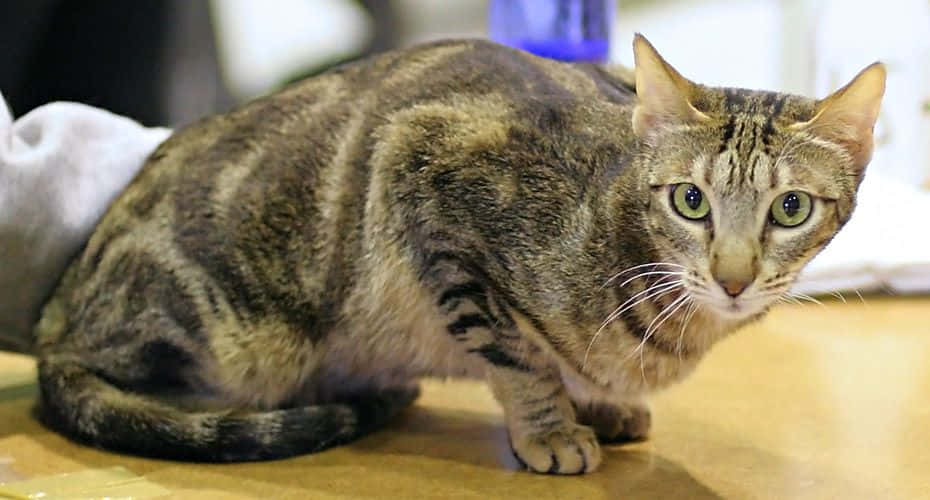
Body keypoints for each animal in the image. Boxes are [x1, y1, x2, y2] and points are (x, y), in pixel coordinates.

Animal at [32, 35, 880, 472]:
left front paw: (597, 402)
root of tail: (57, 318)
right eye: (690, 201)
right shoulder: (423, 172)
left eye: (791, 209)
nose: (733, 279)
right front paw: (550, 428)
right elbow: (519, 357)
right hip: (236, 336)